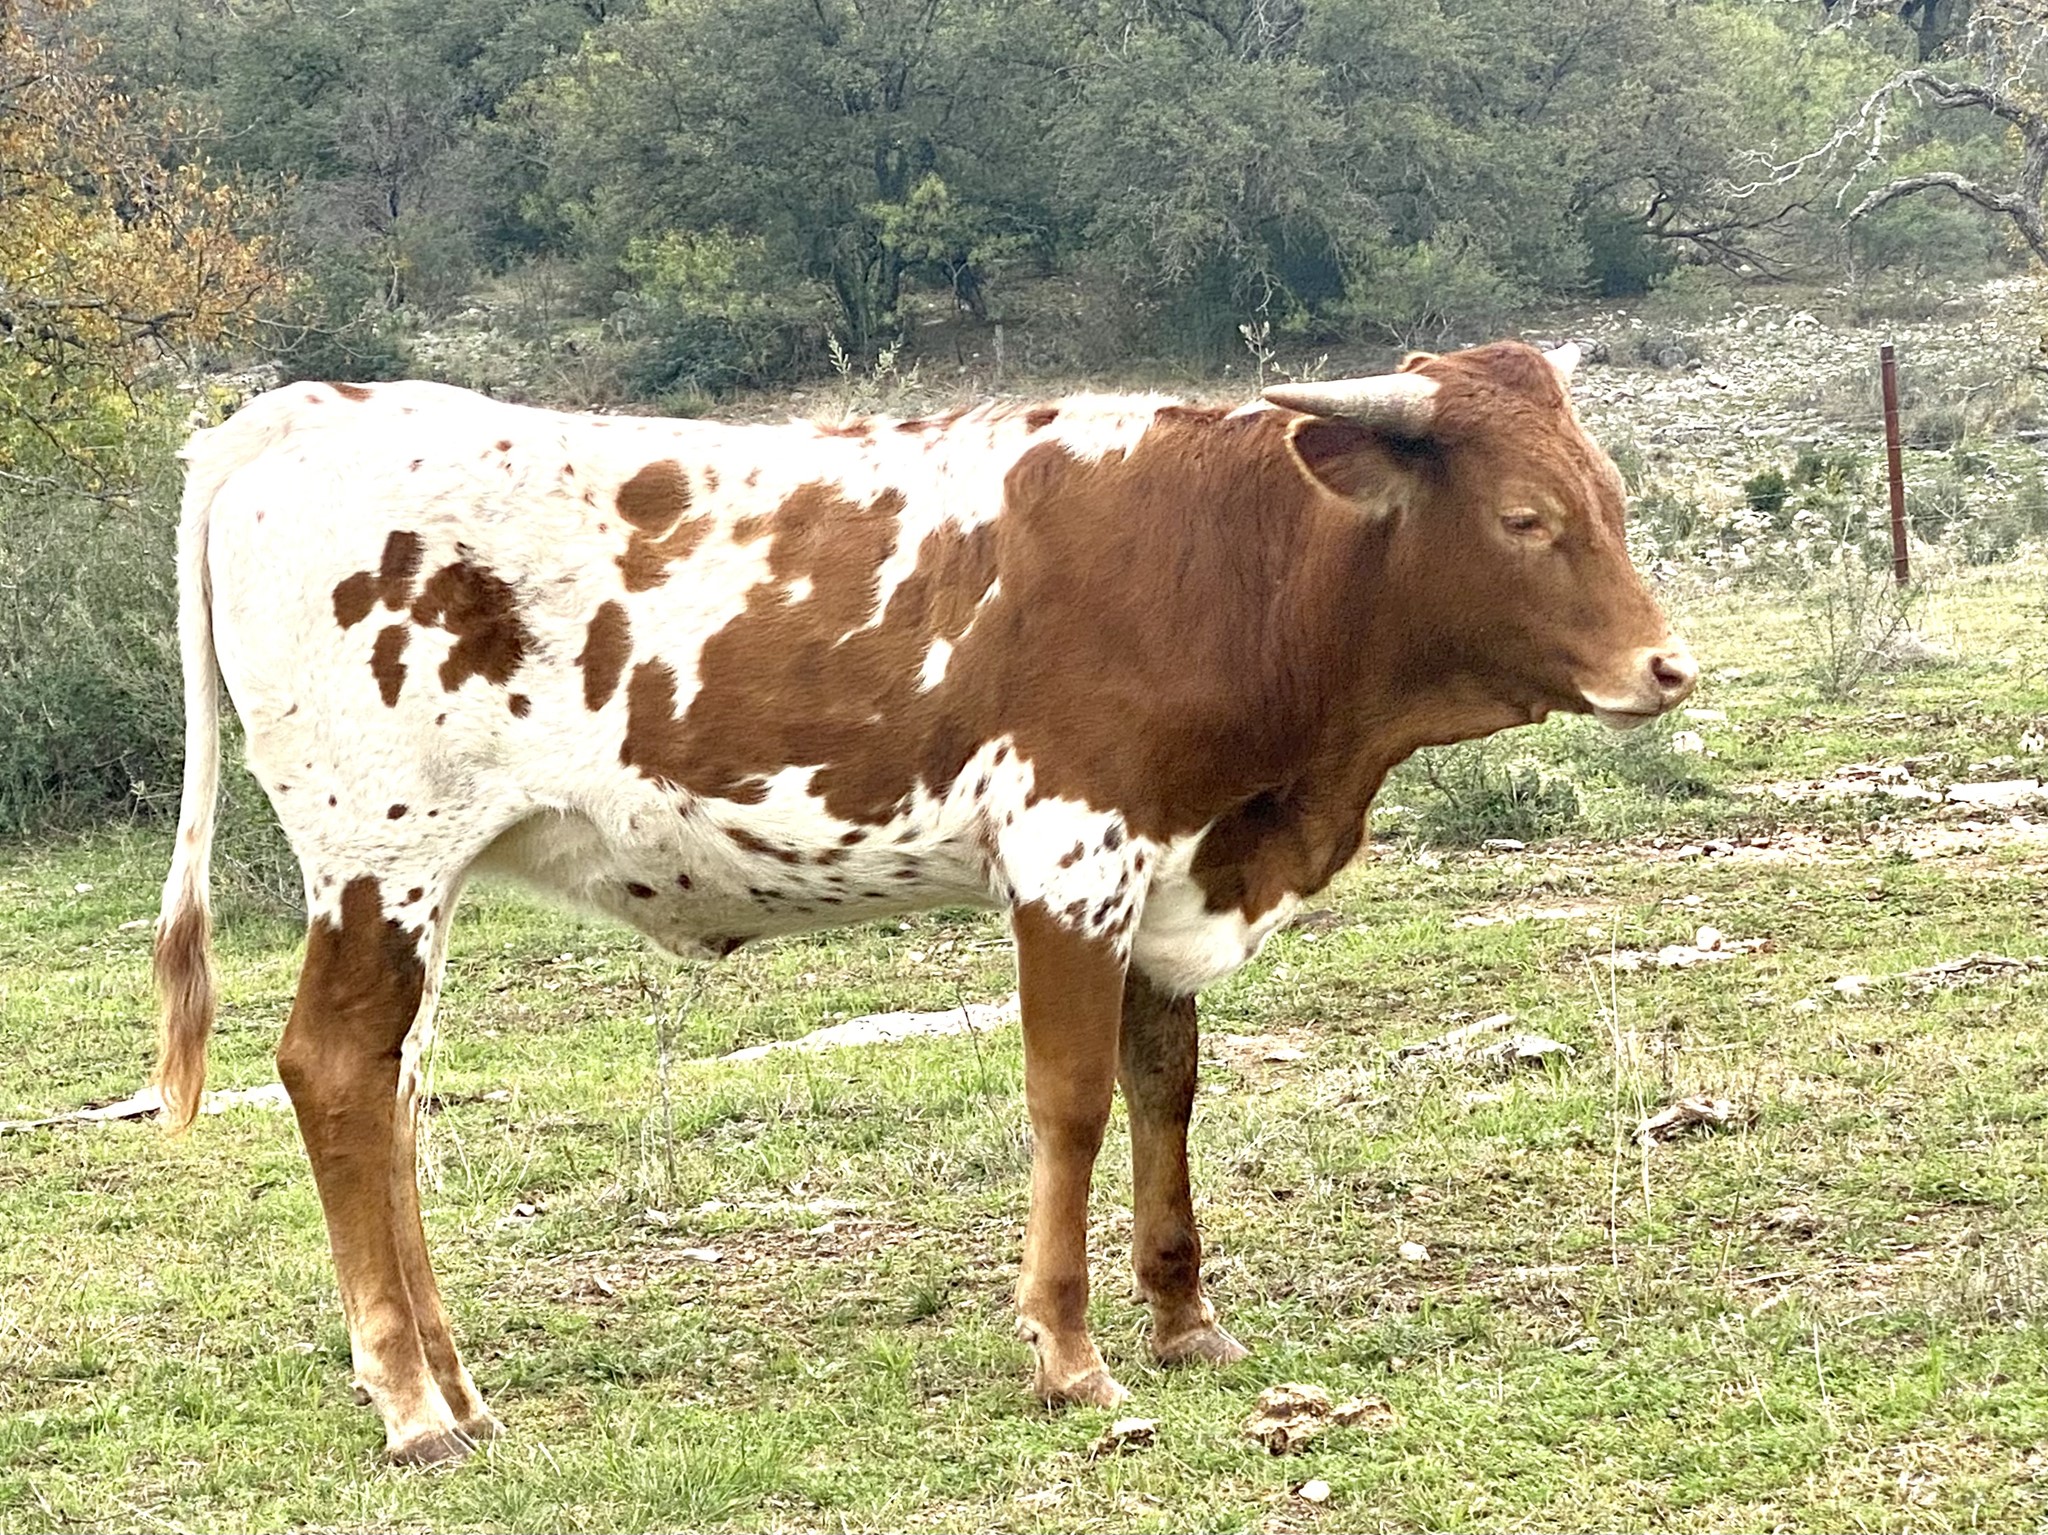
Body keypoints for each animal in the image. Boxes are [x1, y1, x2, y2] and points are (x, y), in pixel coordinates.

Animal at [151, 341, 1695, 1463]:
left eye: (1613, 500)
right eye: (1524, 518)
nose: (1665, 666)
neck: (1230, 560)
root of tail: (296, 413)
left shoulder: (1167, 875)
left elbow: (1166, 1089)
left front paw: (1186, 1319)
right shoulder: (1073, 853)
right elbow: (1071, 1099)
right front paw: (1070, 1354)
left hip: (426, 880)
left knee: (396, 1092)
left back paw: (458, 1388)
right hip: (377, 855)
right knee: (334, 1068)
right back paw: (411, 1403)